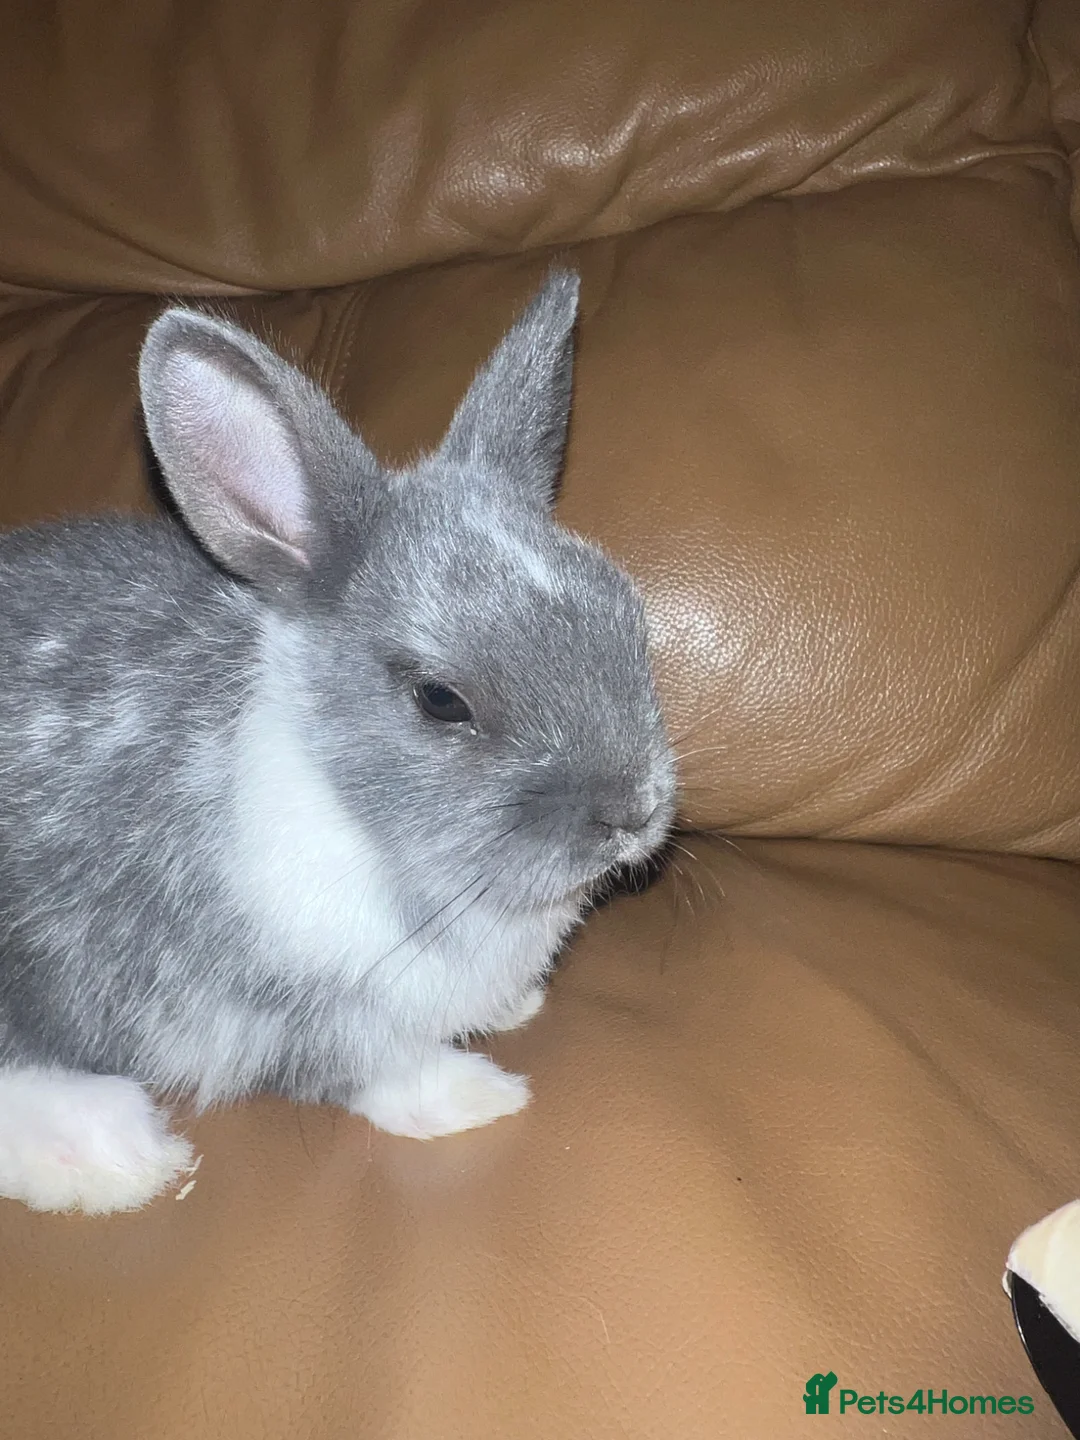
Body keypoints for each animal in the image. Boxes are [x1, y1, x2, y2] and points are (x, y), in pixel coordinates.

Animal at [0, 270, 676, 1215]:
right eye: (440, 700)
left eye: (628, 615)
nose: (636, 810)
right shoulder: (285, 1010)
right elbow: (373, 1071)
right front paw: (478, 1096)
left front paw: (514, 1009)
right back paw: (114, 1157)